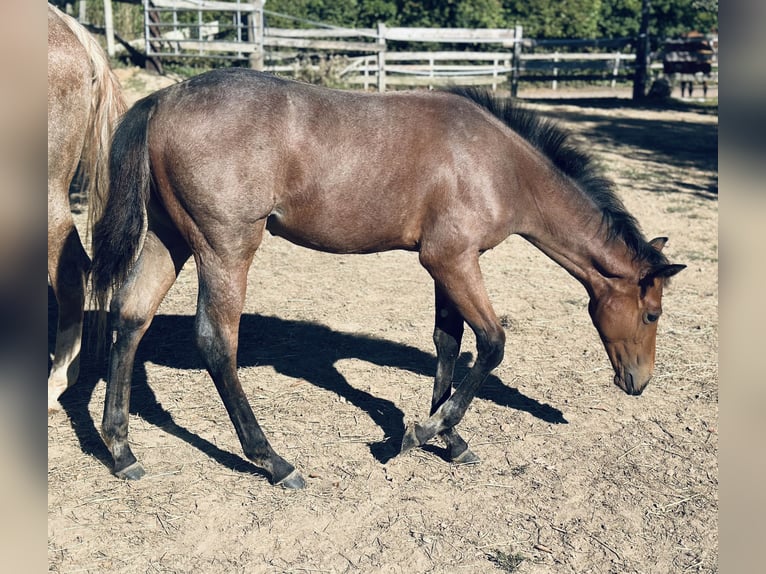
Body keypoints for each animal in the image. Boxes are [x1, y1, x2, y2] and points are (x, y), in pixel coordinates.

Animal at [91, 69, 685, 489]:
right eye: (651, 313)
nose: (638, 382)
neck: (497, 165)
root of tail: (162, 100)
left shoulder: (448, 264)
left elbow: (449, 342)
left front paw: (451, 438)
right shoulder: (452, 260)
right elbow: (491, 343)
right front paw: (420, 434)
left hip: (169, 238)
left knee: (130, 316)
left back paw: (121, 452)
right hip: (225, 247)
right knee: (217, 341)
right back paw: (274, 461)